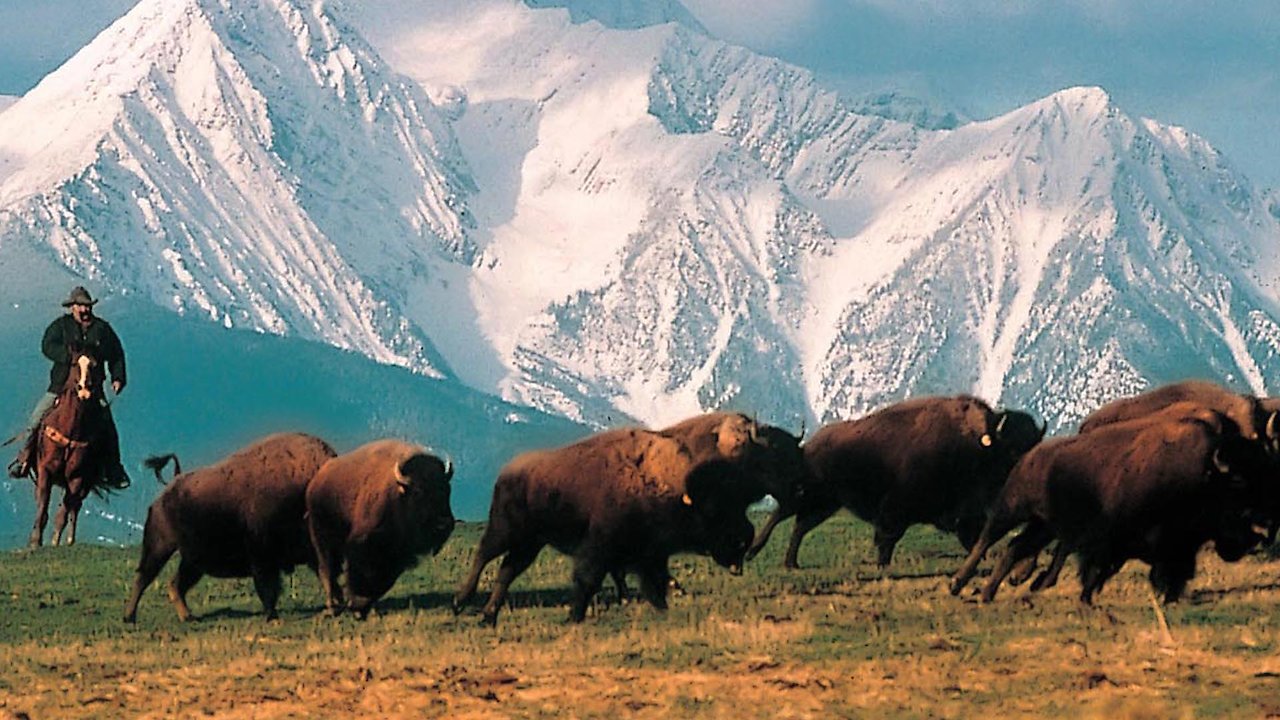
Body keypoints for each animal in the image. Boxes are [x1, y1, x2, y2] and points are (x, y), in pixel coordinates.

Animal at [123, 433, 337, 622]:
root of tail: (163, 496)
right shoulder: (263, 557)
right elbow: (268, 588)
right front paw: (272, 617)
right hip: (160, 548)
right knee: (143, 578)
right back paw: (129, 617)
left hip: (192, 562)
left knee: (176, 583)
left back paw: (188, 617)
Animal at [305, 439, 456, 618]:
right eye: (418, 491)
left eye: (447, 489)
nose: (444, 524)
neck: (398, 494)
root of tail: (316, 482)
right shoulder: (362, 544)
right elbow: (359, 571)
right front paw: (356, 604)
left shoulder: (396, 556)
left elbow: (383, 580)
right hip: (321, 537)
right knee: (326, 568)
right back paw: (332, 606)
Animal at [453, 416, 806, 626]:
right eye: (714, 512)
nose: (741, 543)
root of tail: (508, 470)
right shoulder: (603, 546)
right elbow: (591, 578)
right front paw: (576, 615)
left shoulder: (647, 553)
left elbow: (651, 581)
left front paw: (661, 604)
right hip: (507, 530)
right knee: (484, 555)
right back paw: (461, 601)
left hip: (530, 543)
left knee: (506, 571)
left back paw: (488, 616)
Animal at [748, 395, 1044, 569]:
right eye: (1012, 451)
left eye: (1033, 446)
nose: (1029, 477)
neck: (980, 446)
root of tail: (807, 447)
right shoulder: (896, 508)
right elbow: (887, 537)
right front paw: (883, 565)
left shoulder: (969, 514)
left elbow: (973, 537)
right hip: (807, 495)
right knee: (780, 515)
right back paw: (754, 552)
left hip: (826, 505)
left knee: (800, 526)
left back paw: (791, 563)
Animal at [949, 402, 1275, 604]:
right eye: (1238, 486)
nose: (1254, 539)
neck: (1204, 474)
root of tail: (1029, 456)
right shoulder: (1109, 539)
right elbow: (1096, 568)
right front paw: (1082, 595)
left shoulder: (1176, 546)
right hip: (1012, 509)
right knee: (987, 539)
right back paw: (959, 584)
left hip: (1043, 525)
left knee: (1014, 548)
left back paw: (988, 594)